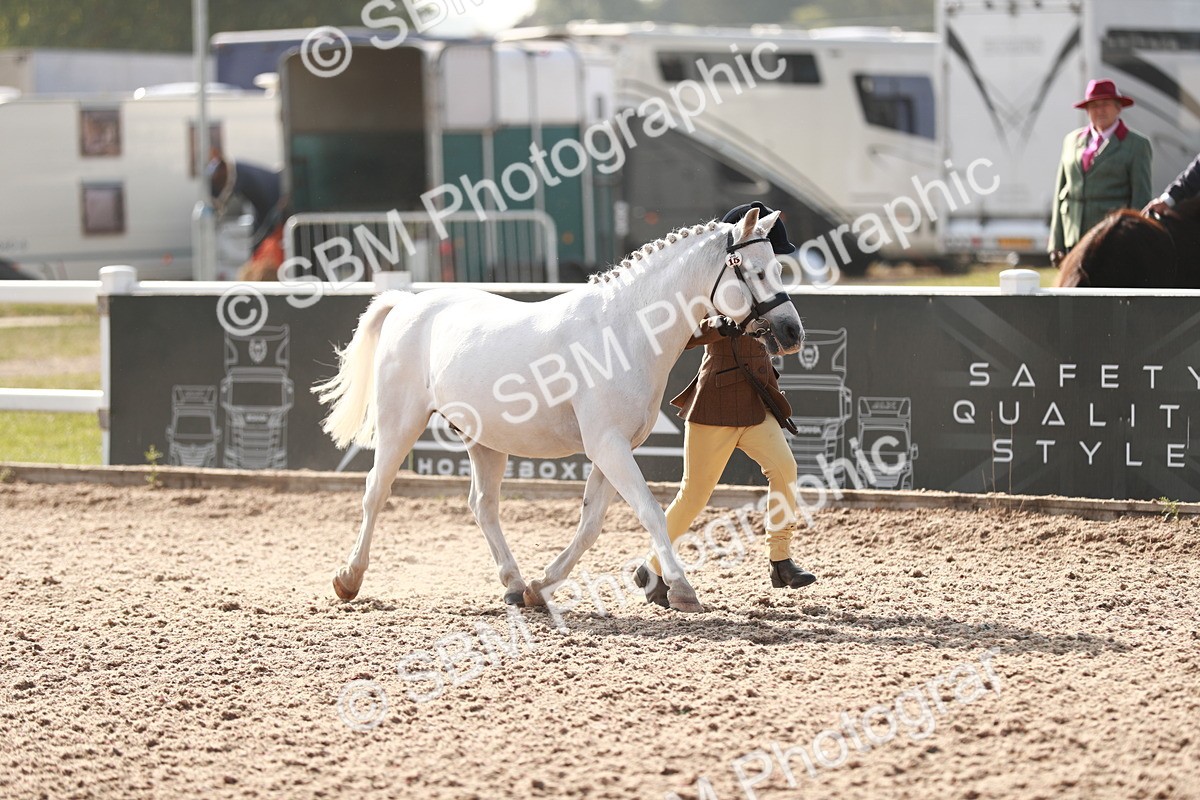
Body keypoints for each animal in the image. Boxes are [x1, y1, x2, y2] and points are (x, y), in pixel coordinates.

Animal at [314, 207, 804, 613]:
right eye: (756, 272)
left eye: (779, 268)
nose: (791, 332)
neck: (624, 330)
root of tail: (408, 302)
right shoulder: (607, 445)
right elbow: (648, 510)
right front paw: (682, 589)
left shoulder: (613, 448)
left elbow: (591, 522)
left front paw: (542, 586)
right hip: (400, 423)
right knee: (376, 491)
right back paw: (348, 579)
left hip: (484, 440)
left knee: (483, 506)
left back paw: (514, 585)